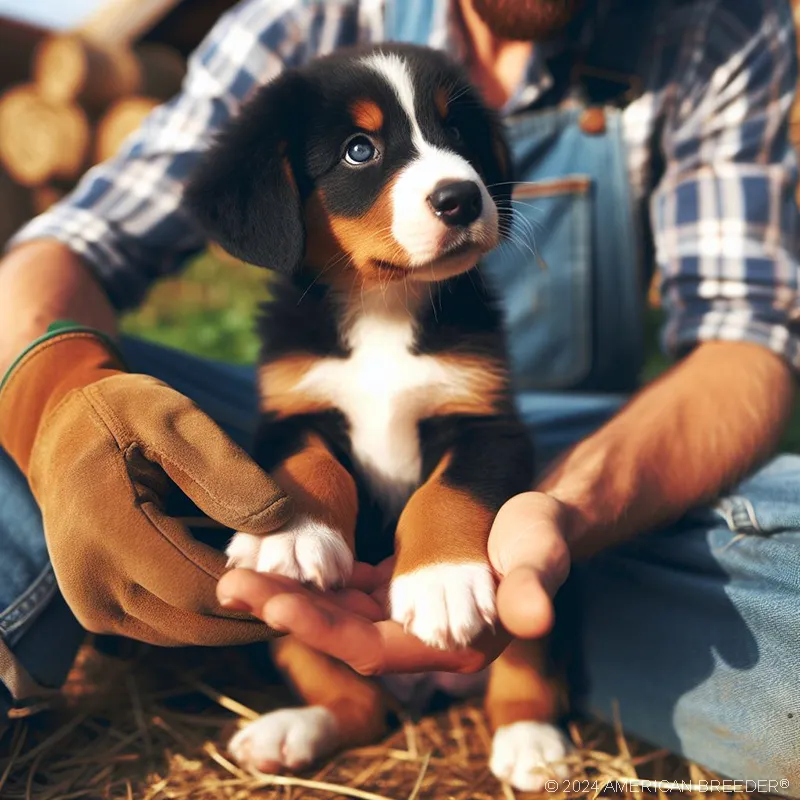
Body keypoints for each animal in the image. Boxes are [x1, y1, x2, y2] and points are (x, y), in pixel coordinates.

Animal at [186, 45, 576, 792]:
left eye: (457, 132)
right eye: (359, 150)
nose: (461, 197)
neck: (384, 307)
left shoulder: (486, 420)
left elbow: (446, 493)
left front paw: (441, 582)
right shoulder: (291, 410)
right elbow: (309, 468)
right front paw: (293, 539)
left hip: (540, 610)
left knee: (524, 663)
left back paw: (531, 742)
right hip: (287, 638)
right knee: (354, 704)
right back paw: (287, 732)